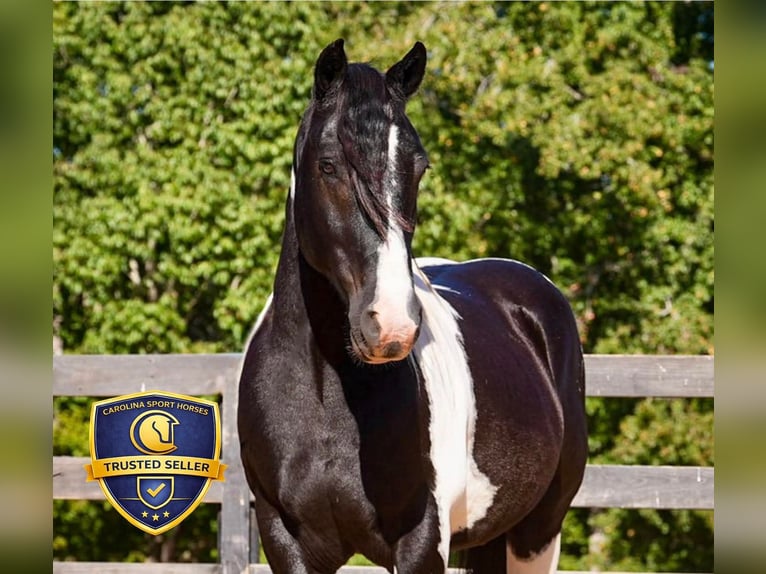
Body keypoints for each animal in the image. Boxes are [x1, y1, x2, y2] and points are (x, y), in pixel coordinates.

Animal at [237, 39, 587, 574]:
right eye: (328, 165)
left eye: (419, 167)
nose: (390, 326)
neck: (325, 399)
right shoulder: (283, 540)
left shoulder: (421, 543)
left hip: (538, 530)